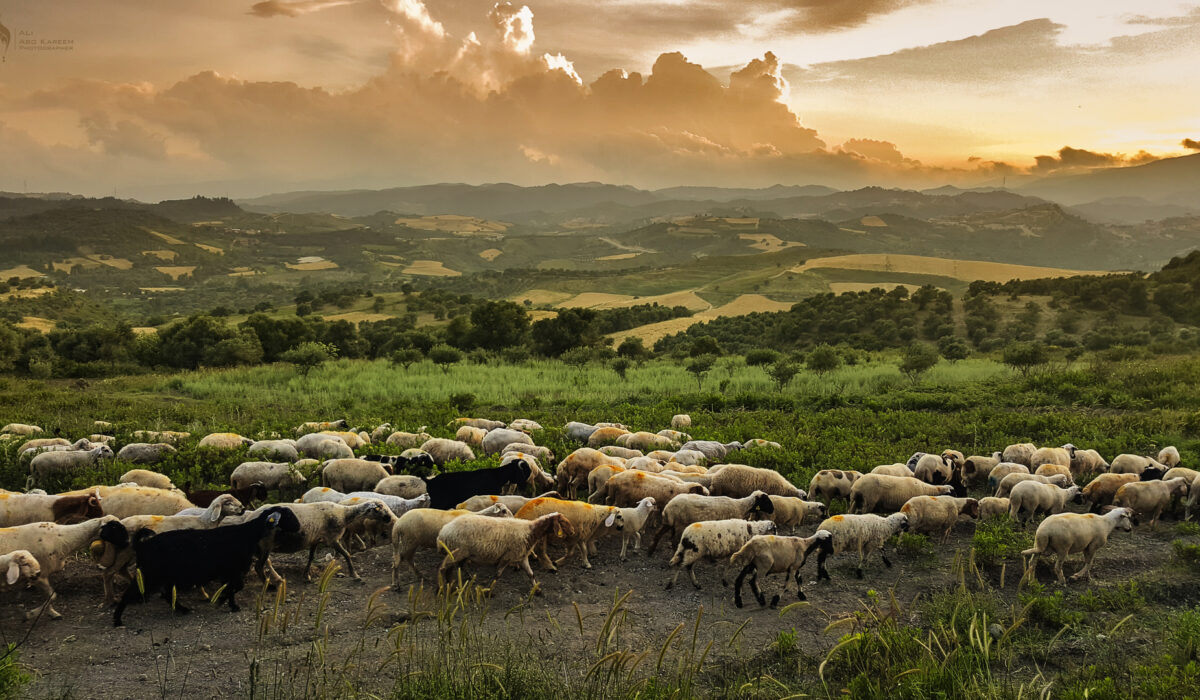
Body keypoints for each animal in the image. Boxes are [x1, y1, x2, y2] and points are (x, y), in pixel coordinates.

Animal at [112, 506, 300, 629]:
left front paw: (230, 603)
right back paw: (117, 620)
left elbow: (234, 587)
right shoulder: (233, 569)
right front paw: (223, 599)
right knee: (129, 594)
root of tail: (142, 545)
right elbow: (236, 586)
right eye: (288, 515)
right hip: (150, 574)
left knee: (166, 594)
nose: (298, 527)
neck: (248, 534)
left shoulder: (230, 571)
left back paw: (182, 609)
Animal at [436, 511, 576, 595]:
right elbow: (497, 574)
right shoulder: (507, 557)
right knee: (443, 568)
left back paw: (452, 584)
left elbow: (531, 574)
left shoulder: (522, 557)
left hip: (461, 553)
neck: (530, 531)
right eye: (563, 522)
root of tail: (443, 532)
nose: (573, 532)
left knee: (454, 568)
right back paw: (442, 588)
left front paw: (537, 590)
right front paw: (489, 591)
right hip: (457, 552)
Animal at [648, 489, 777, 557]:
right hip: (679, 524)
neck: (741, 506)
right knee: (674, 541)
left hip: (669, 523)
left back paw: (651, 551)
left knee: (658, 534)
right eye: (765, 500)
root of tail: (668, 507)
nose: (772, 510)